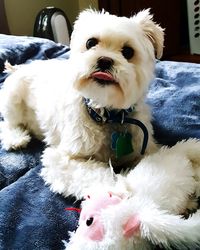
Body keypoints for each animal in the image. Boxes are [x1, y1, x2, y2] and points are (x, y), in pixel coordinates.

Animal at [0, 8, 162, 198]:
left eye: (128, 52)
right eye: (91, 43)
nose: (105, 60)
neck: (106, 113)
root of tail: (20, 67)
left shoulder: (144, 147)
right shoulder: (62, 158)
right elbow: (98, 175)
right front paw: (120, 189)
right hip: (13, 100)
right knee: (8, 124)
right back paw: (16, 139)